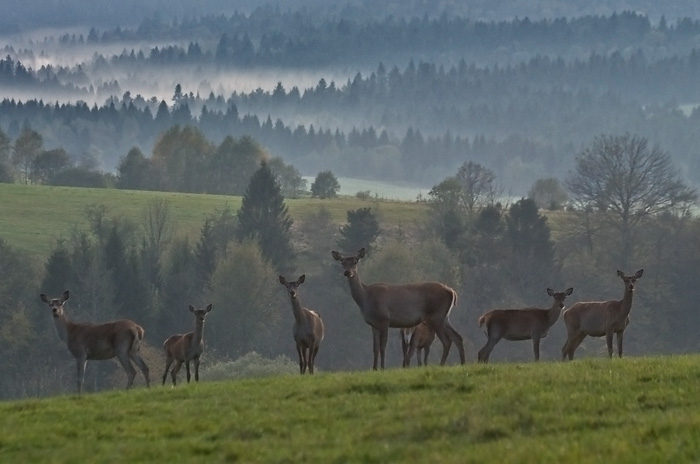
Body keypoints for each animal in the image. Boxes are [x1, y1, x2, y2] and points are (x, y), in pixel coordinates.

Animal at [332, 246, 464, 370]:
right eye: (343, 262)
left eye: (355, 262)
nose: (347, 272)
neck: (366, 298)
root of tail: (452, 291)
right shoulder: (373, 324)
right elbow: (375, 348)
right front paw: (374, 368)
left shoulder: (385, 319)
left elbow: (383, 347)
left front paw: (382, 368)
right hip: (444, 317)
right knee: (457, 337)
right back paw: (463, 363)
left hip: (436, 316)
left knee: (447, 341)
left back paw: (442, 365)